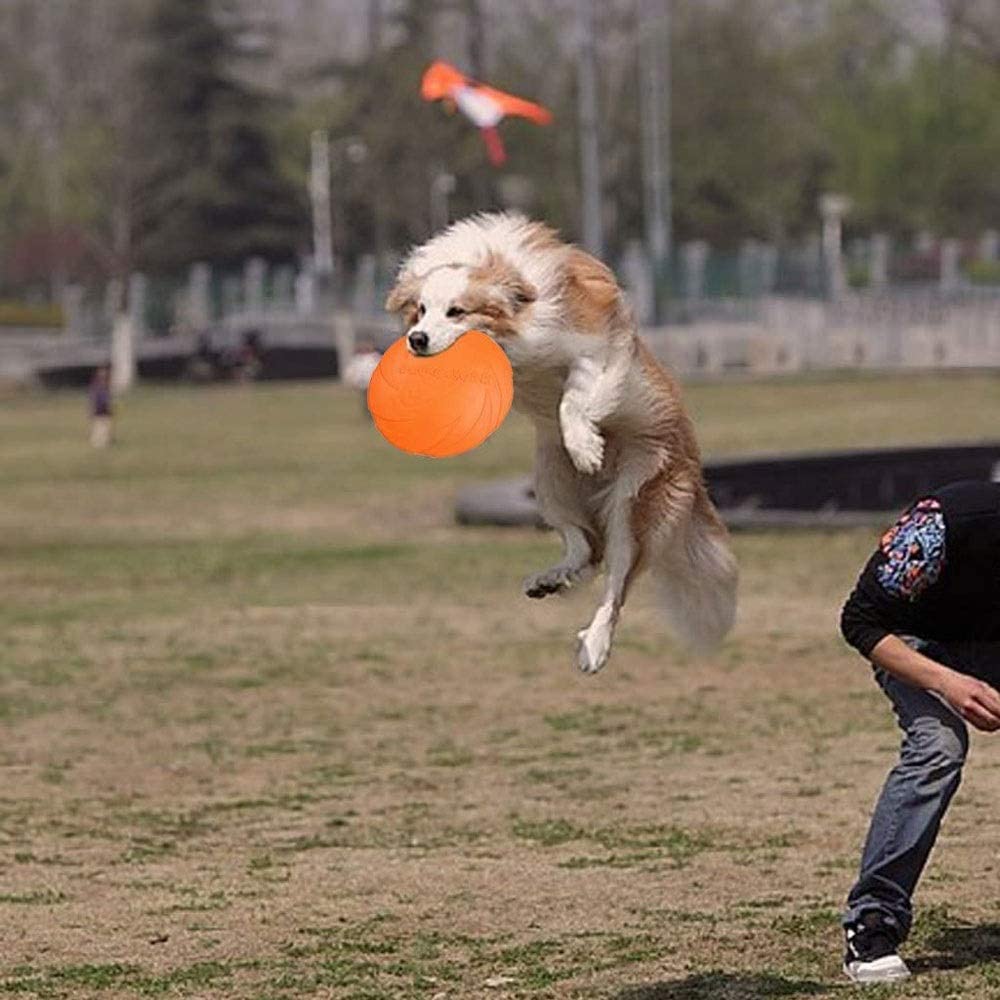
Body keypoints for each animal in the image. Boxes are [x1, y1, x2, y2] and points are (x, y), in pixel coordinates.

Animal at [382, 215, 736, 676]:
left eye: (456, 312)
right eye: (420, 311)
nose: (417, 339)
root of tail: (694, 468)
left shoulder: (594, 346)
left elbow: (573, 396)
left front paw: (585, 446)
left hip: (634, 500)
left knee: (616, 578)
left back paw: (596, 646)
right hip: (550, 482)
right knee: (586, 547)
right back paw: (552, 578)